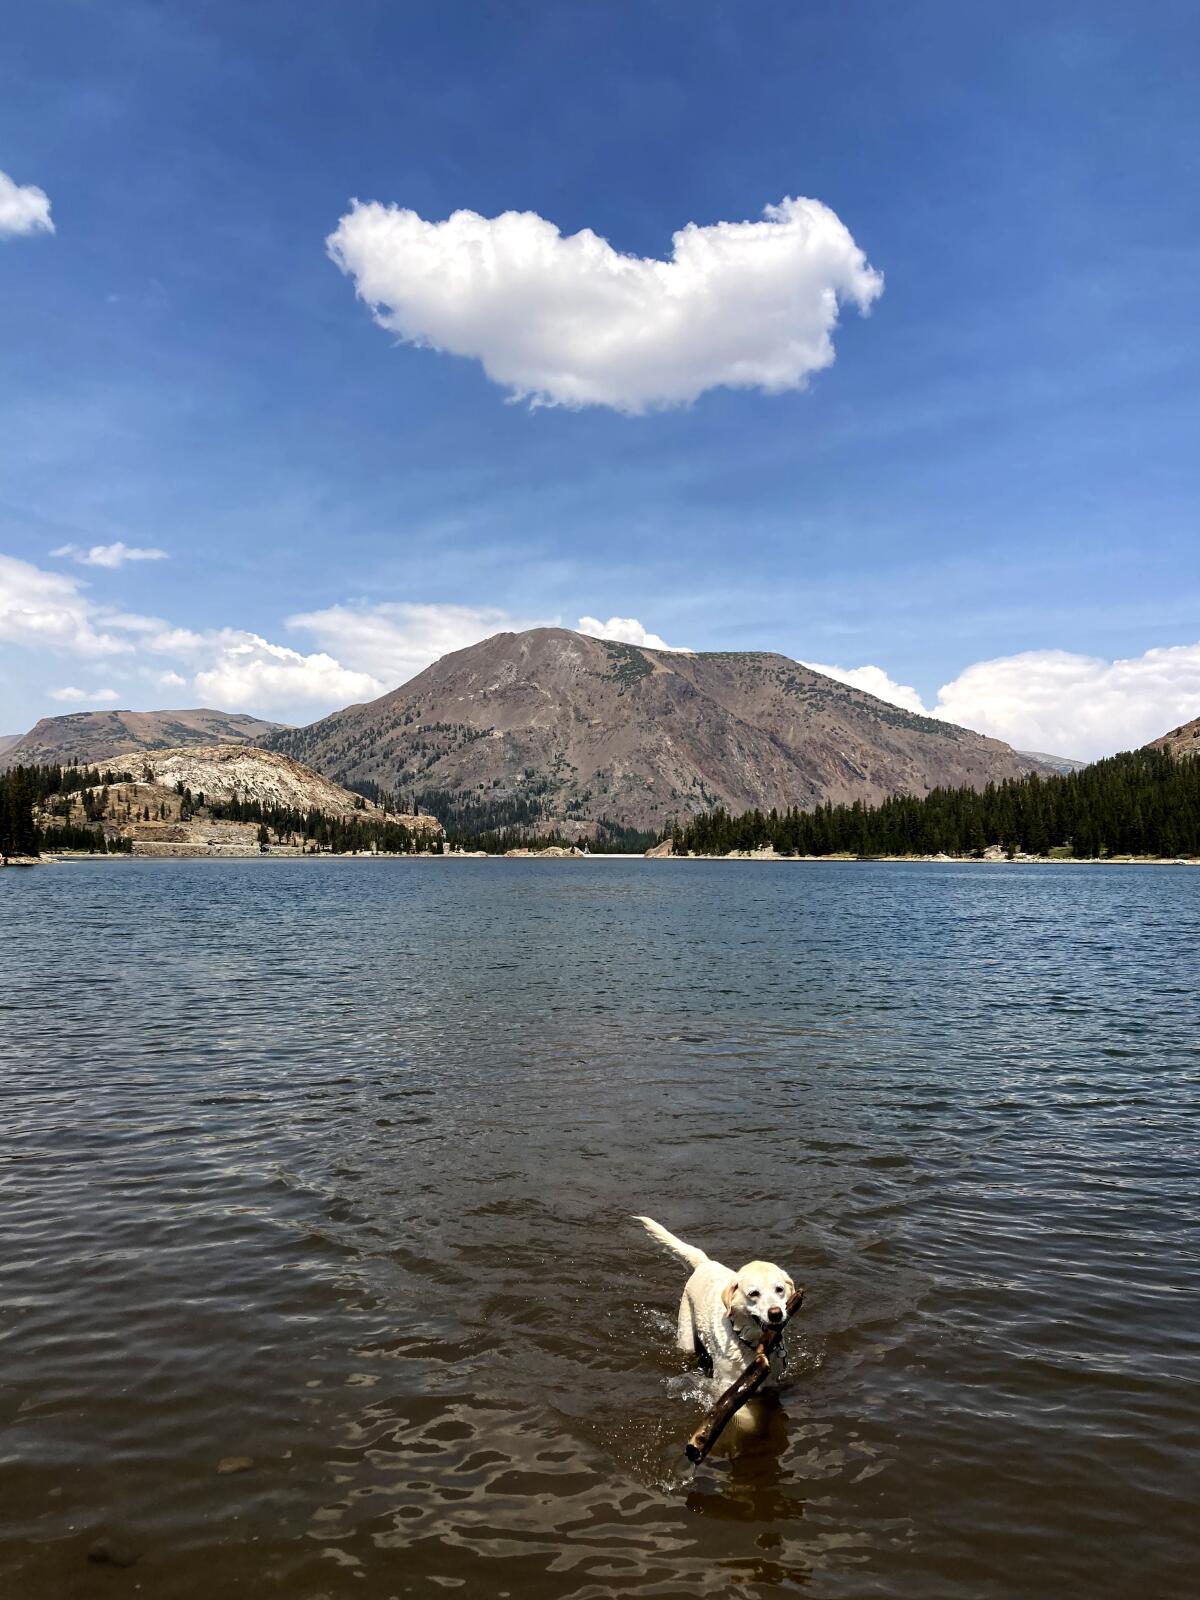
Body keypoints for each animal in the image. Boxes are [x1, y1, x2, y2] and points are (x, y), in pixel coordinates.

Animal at [640, 1216, 800, 1395]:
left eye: (779, 1289)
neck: (750, 1343)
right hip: (686, 1336)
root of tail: (705, 1263)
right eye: (753, 1293)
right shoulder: (724, 1384)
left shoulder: (771, 1383)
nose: (775, 1313)